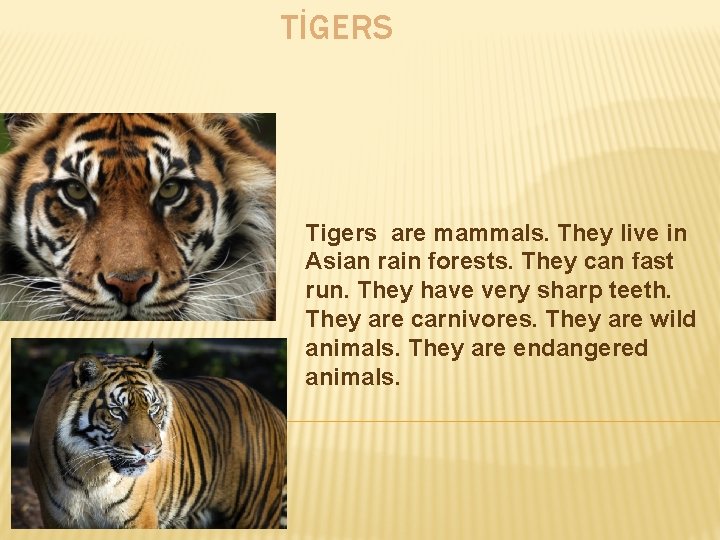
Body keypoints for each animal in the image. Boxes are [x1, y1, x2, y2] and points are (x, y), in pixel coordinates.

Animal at [28, 343, 287, 529]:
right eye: (117, 411)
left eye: (153, 408)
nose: (147, 449)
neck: (90, 475)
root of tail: (270, 406)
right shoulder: (55, 519)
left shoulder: (138, 518)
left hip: (257, 515)